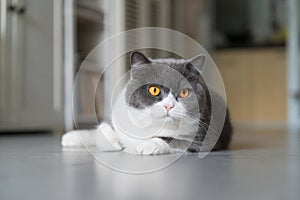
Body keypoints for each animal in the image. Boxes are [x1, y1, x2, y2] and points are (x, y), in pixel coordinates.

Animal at [62, 51, 233, 155]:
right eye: (154, 90)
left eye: (184, 92)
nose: (168, 105)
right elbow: (103, 130)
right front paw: (72, 137)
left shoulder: (202, 136)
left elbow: (172, 140)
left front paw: (148, 145)